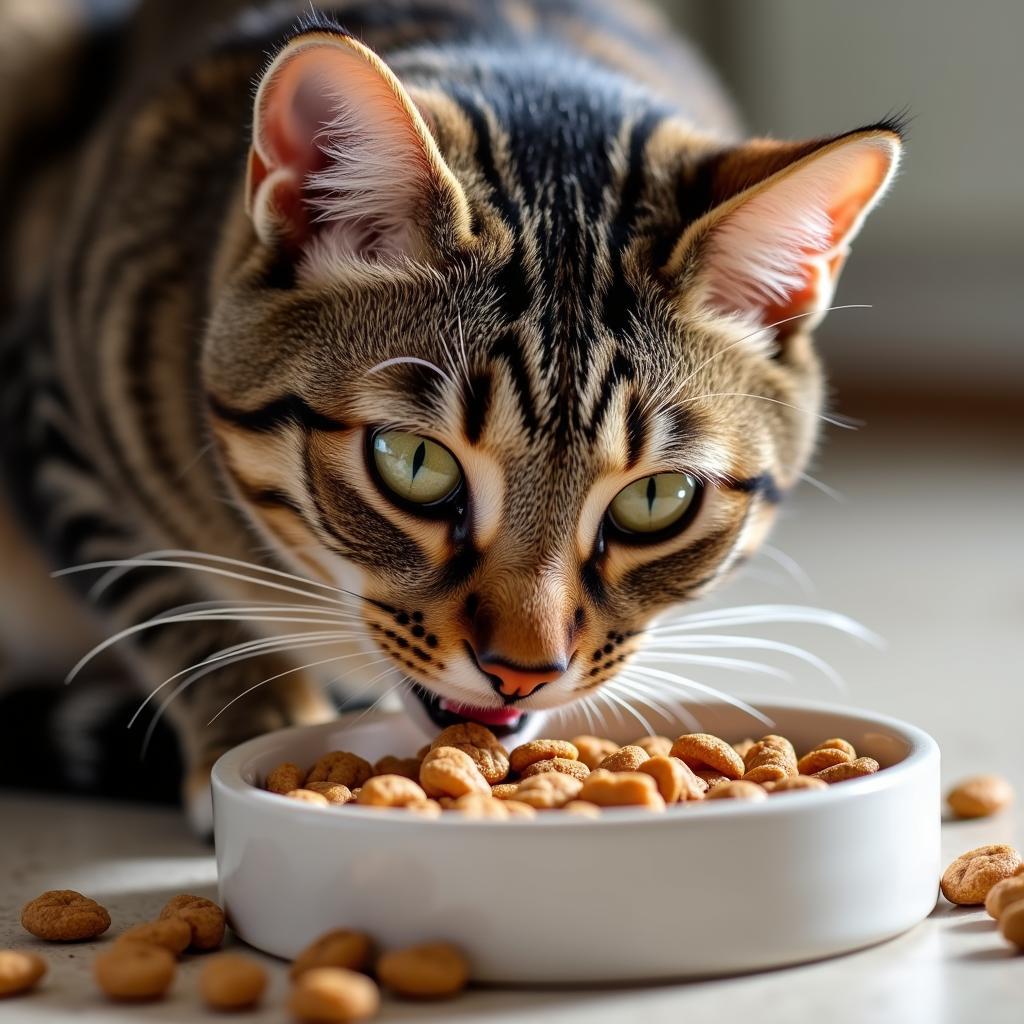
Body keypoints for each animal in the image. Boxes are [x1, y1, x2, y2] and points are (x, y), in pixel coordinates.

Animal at [0, 2, 897, 831]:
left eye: (656, 499)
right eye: (413, 463)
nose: (523, 671)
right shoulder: (56, 419)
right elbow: (171, 601)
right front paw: (253, 725)